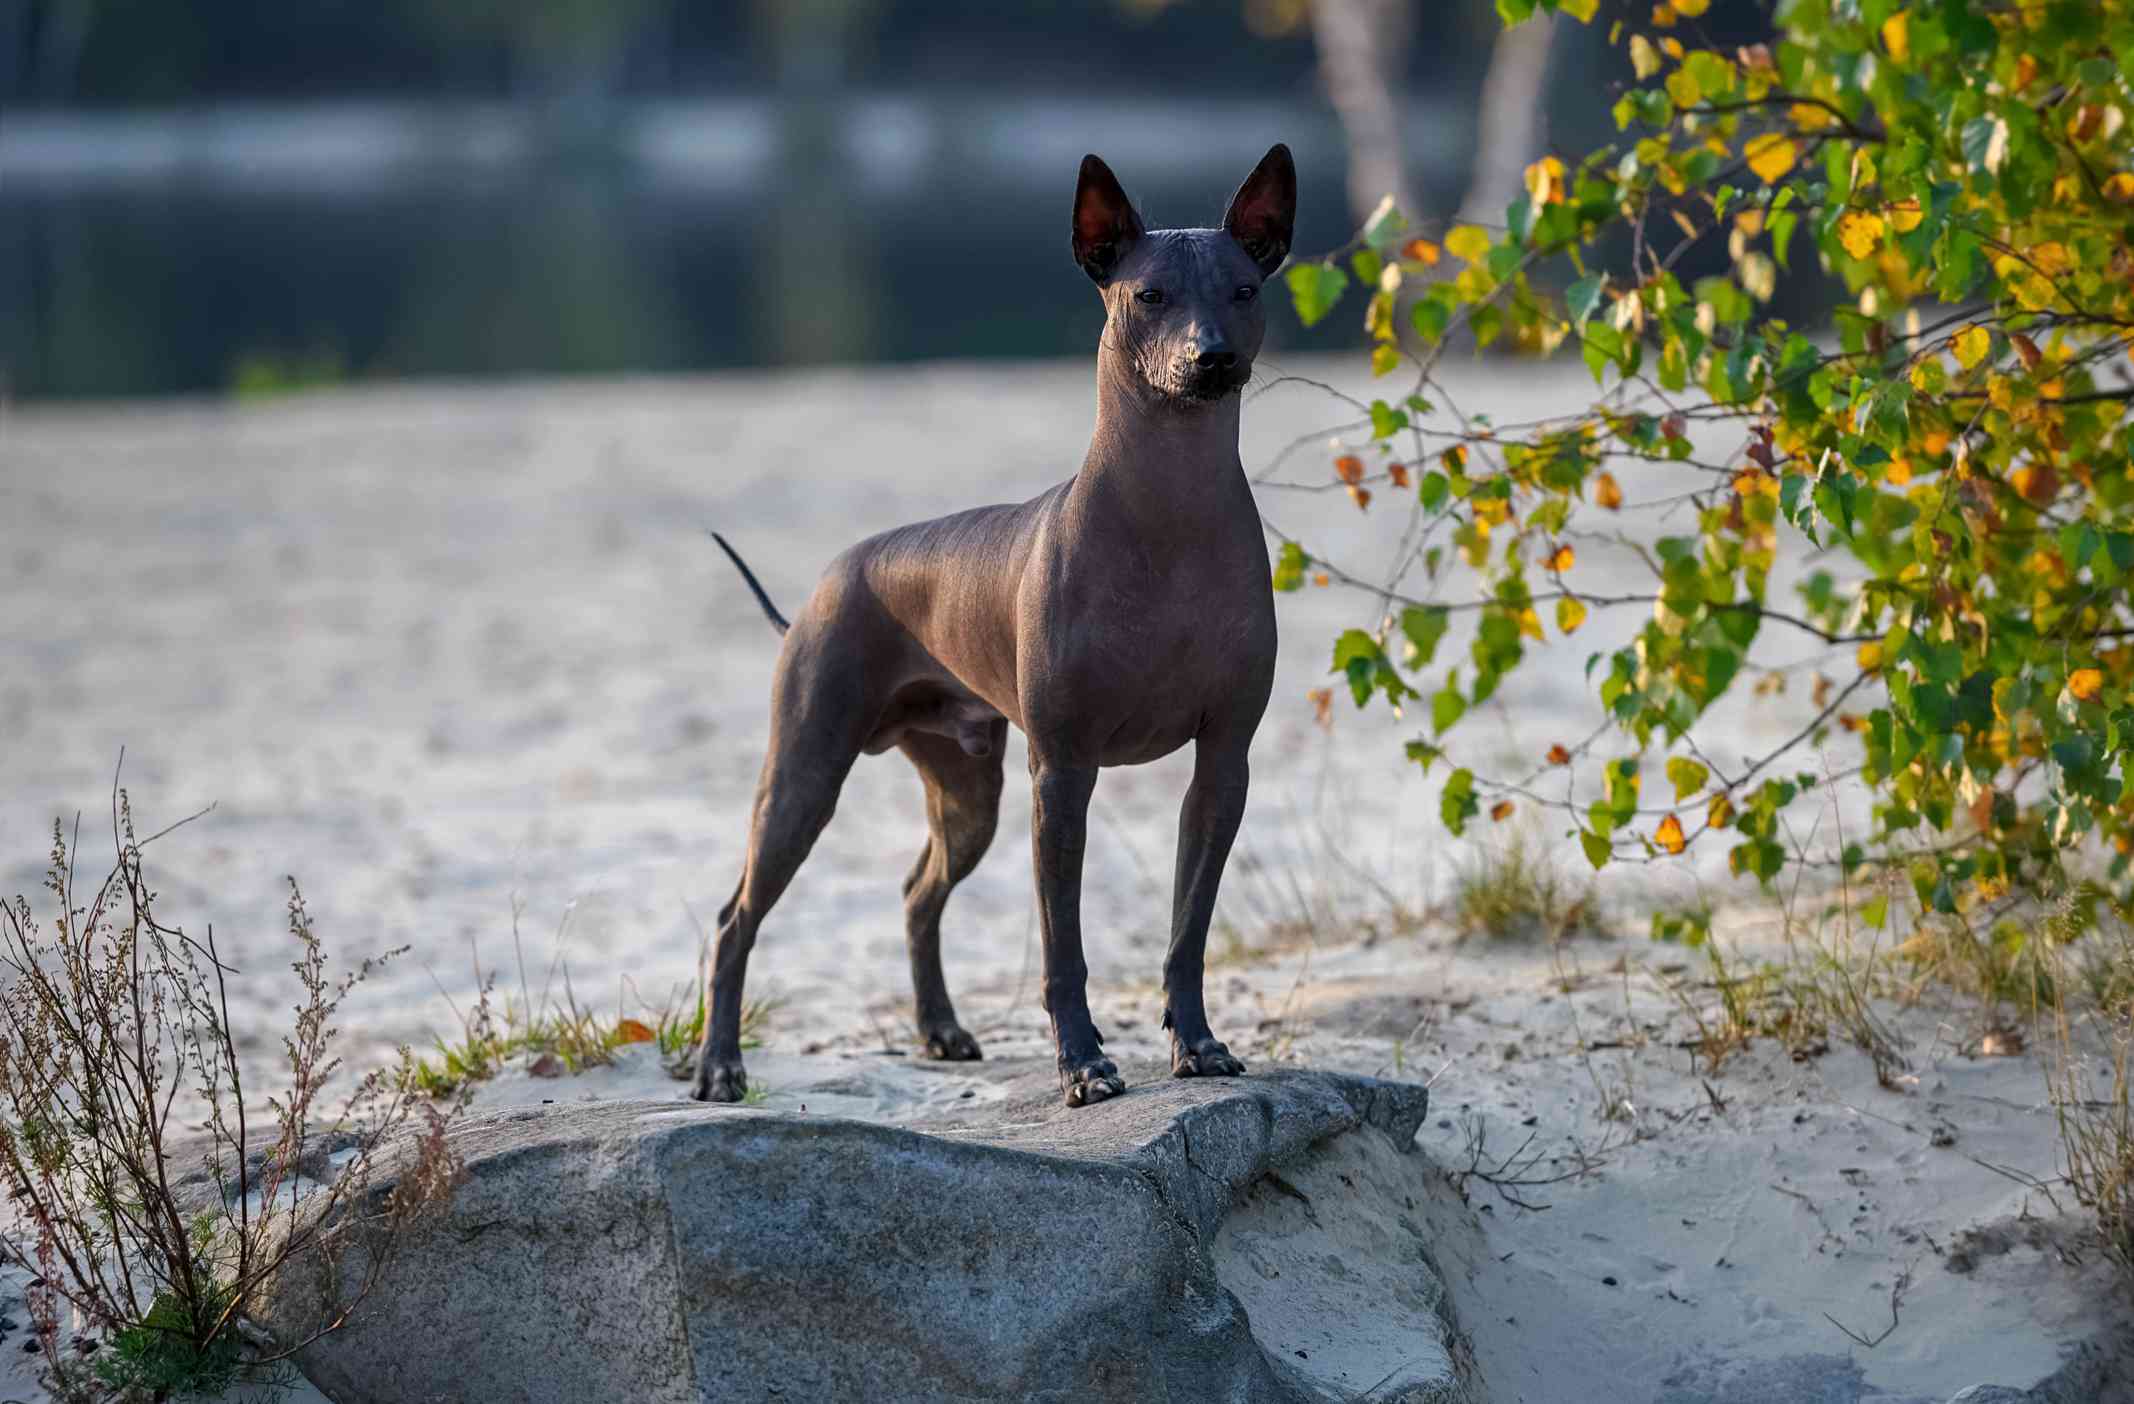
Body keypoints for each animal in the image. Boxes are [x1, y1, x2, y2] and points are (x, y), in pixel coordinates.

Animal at [708, 141, 1288, 1101]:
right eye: (1150, 296)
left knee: (917, 895)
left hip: (966, 793)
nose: (1211, 359)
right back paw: (720, 1065)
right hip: (803, 777)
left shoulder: (1223, 765)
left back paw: (940, 1030)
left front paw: (1198, 1044)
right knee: (735, 917)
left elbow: (1187, 931)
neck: (1171, 516)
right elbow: (1065, 949)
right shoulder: (1063, 774)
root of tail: (830, 580)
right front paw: (1083, 1064)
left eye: (1245, 290)